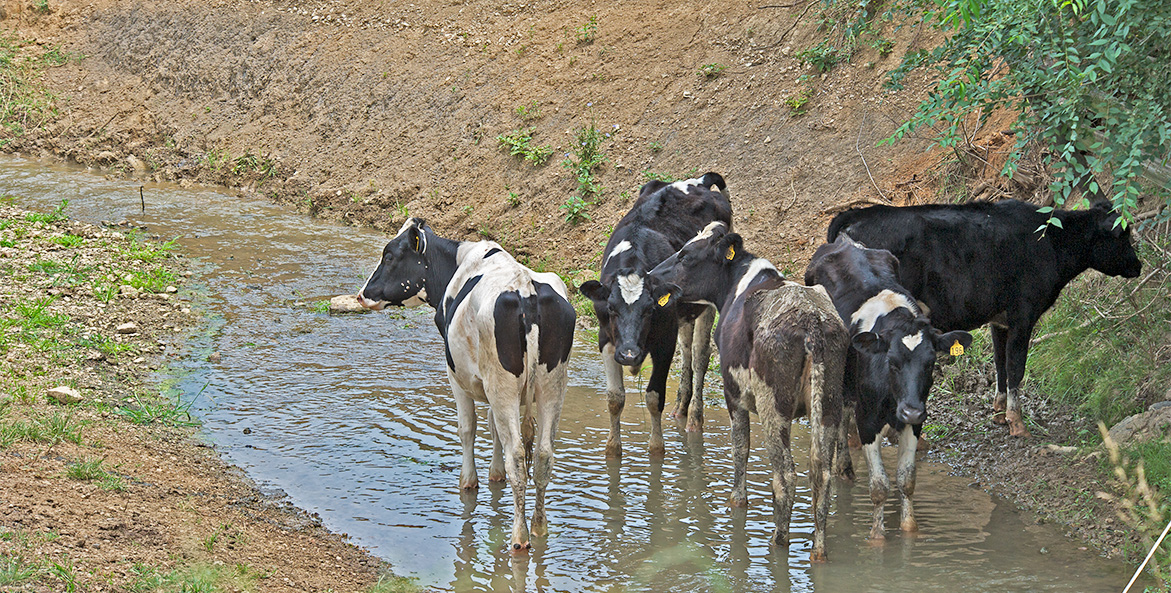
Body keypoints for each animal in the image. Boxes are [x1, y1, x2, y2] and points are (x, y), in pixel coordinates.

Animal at [355, 219, 576, 555]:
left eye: (390, 256)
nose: (362, 294)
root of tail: (526, 288)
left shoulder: (456, 376)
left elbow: (468, 428)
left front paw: (469, 481)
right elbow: (495, 428)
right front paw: (494, 474)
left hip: (505, 384)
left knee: (517, 457)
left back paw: (519, 535)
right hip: (553, 385)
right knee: (542, 456)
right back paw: (539, 527)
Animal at [578, 172, 730, 459]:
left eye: (650, 309)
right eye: (611, 308)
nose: (629, 355)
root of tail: (701, 180)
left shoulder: (664, 342)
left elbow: (653, 397)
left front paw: (657, 450)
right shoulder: (607, 340)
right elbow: (615, 398)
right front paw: (612, 450)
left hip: (707, 303)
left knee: (699, 357)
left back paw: (694, 418)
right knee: (687, 351)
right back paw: (680, 408)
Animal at [646, 222, 847, 560]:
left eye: (686, 256)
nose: (650, 276)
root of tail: (812, 319)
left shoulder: (734, 394)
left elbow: (740, 449)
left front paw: (737, 501)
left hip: (773, 406)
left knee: (785, 476)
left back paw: (778, 541)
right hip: (829, 406)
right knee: (822, 475)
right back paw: (817, 551)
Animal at [805, 235, 969, 536]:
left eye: (930, 363)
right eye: (892, 361)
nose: (910, 411)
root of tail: (846, 241)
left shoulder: (915, 422)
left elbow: (906, 480)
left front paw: (909, 528)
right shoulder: (868, 420)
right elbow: (880, 486)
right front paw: (877, 536)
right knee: (842, 415)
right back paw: (844, 467)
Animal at [824, 201, 1142, 438]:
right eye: (1123, 236)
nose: (1138, 266)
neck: (1051, 242)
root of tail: (858, 214)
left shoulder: (999, 321)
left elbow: (1000, 365)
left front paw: (1000, 413)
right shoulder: (1023, 315)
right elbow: (1016, 368)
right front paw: (1017, 423)